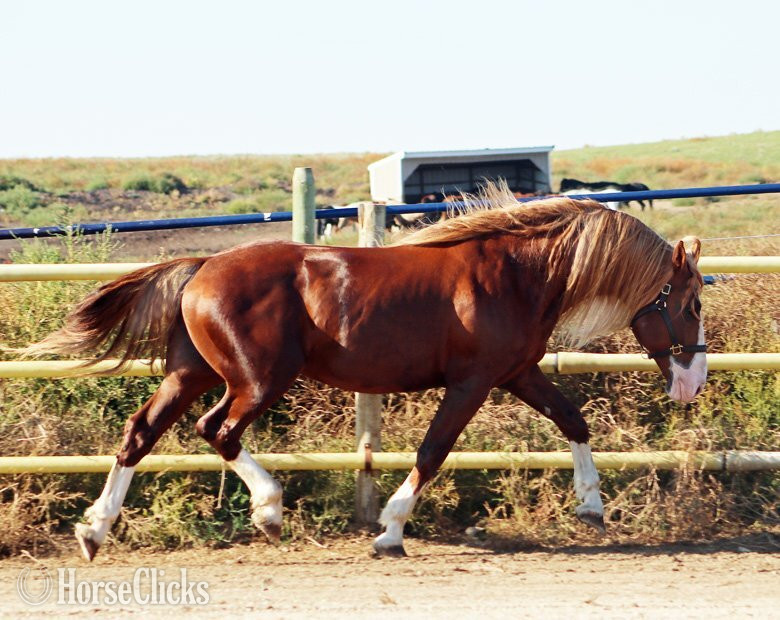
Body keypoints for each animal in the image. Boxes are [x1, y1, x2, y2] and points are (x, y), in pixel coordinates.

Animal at [20, 184, 707, 560]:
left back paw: (94, 531)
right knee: (217, 432)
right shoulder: (472, 382)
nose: (693, 383)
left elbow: (573, 418)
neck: (516, 273)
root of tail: (201, 267)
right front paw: (390, 532)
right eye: (692, 304)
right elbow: (433, 452)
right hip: (257, 380)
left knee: (143, 432)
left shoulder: (516, 372)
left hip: (191, 374)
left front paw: (592, 506)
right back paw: (269, 512)